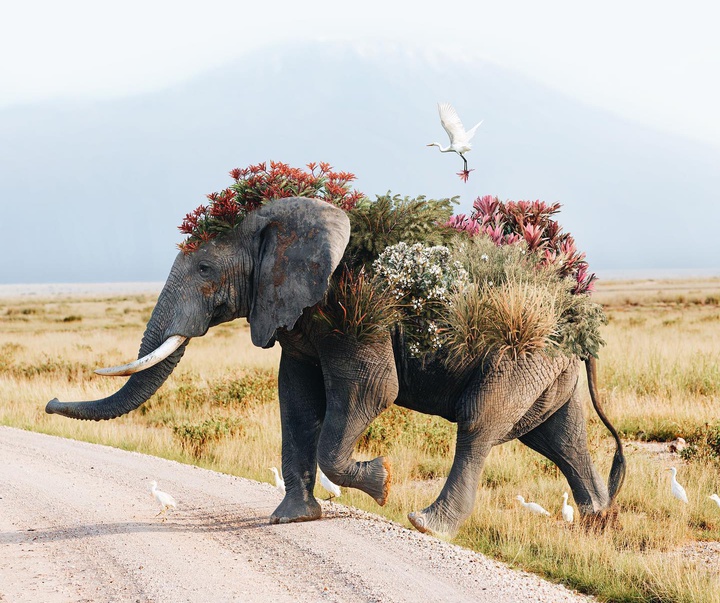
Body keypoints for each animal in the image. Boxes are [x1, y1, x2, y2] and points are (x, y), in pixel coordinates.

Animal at [49, 196, 624, 536]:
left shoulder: (354, 308)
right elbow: (297, 401)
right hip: (549, 367)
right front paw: (291, 519)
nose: (51, 403)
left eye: (207, 268)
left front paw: (381, 482)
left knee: (481, 422)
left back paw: (426, 524)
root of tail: (577, 303)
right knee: (558, 436)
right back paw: (596, 523)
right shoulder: (299, 319)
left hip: (522, 351)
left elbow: (373, 388)